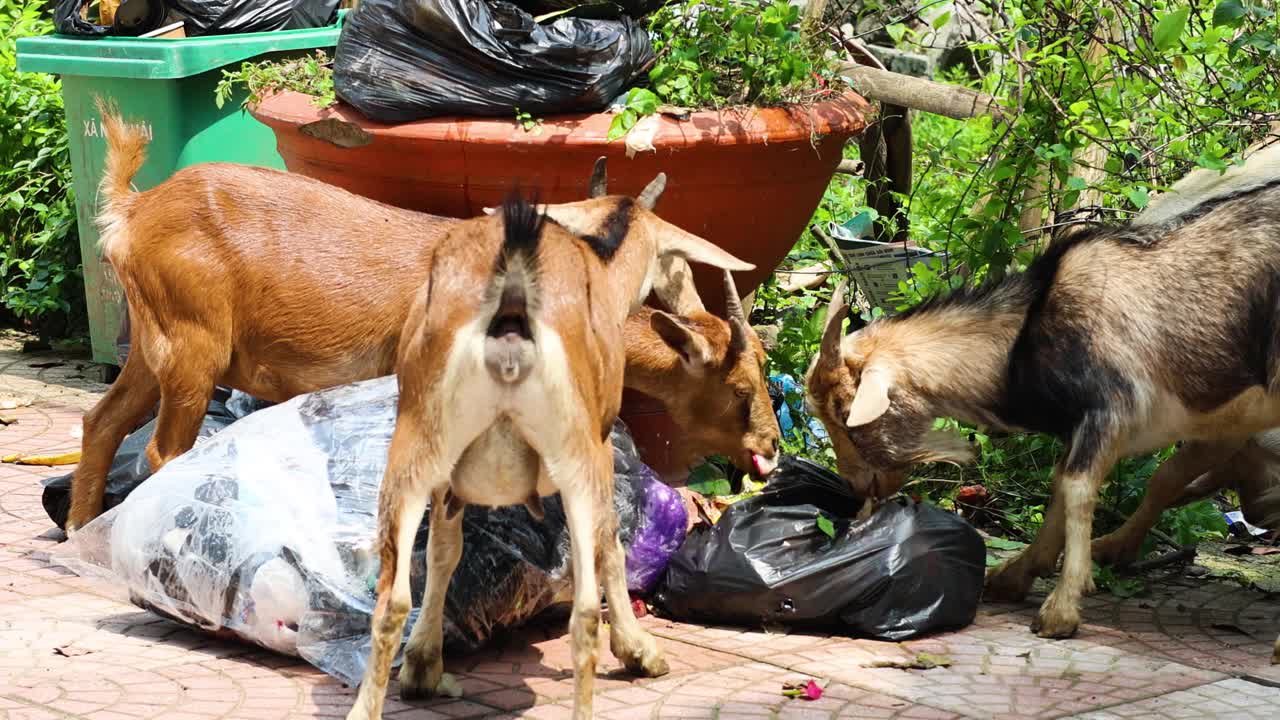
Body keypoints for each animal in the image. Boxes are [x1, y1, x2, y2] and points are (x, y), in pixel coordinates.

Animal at [345, 192, 752, 717]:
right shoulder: (600, 444)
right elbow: (609, 544)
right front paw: (640, 651)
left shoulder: (447, 480)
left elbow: (443, 552)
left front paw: (422, 666)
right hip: (575, 456)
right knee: (584, 612)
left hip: (416, 445)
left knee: (391, 601)